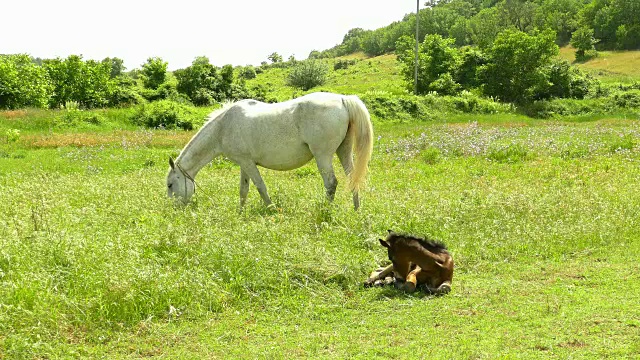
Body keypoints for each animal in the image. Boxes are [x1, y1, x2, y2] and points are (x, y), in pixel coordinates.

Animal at [166, 93, 376, 210]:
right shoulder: (244, 164)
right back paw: (356, 210)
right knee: (352, 179)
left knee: (331, 183)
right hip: (343, 151)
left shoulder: (248, 163)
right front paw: (240, 212)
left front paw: (271, 209)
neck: (223, 127)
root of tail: (343, 99)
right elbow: (244, 189)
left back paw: (325, 211)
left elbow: (260, 186)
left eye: (170, 185)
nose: (174, 210)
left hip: (322, 156)